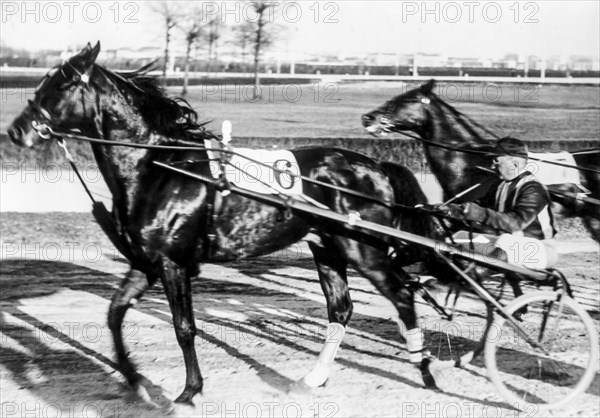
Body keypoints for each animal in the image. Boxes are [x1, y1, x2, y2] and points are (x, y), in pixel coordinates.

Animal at [7, 42, 440, 404]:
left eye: (59, 86)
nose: (15, 130)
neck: (159, 166)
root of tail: (376, 164)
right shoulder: (147, 262)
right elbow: (114, 314)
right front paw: (137, 381)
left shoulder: (174, 263)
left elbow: (184, 327)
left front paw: (189, 392)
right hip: (328, 249)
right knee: (341, 310)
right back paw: (313, 378)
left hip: (364, 249)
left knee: (402, 296)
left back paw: (424, 370)